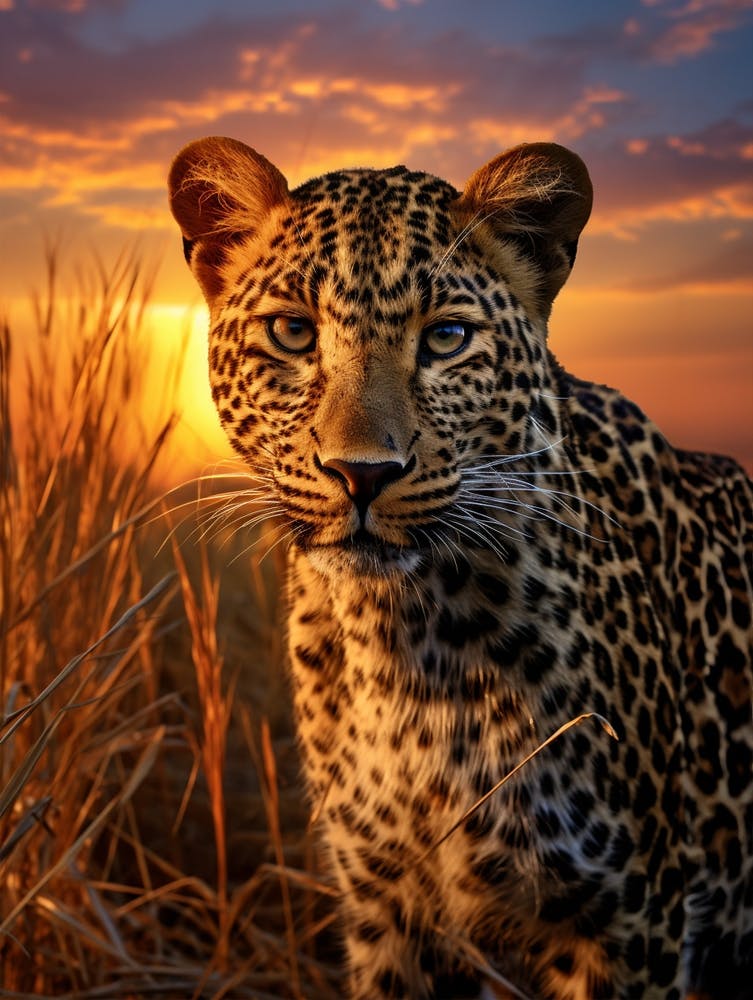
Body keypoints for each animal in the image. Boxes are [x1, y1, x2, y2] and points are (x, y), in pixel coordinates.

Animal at [168, 135, 753, 999]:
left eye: (445, 338)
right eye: (293, 333)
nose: (362, 474)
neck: (408, 647)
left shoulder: (629, 918)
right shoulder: (389, 909)